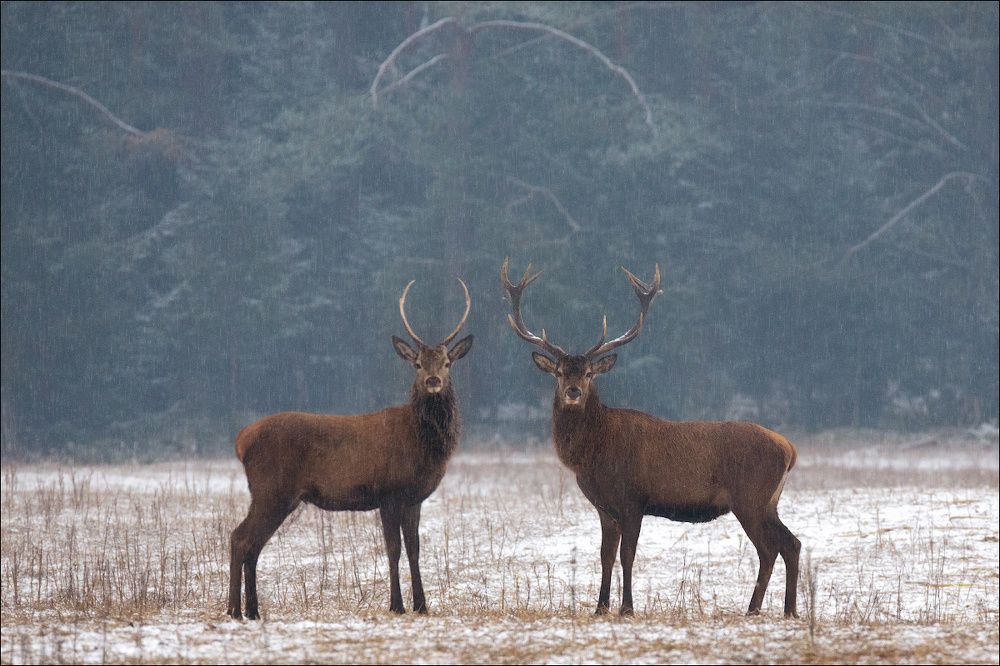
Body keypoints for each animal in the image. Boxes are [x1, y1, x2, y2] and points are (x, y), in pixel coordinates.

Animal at [227, 279, 474, 620]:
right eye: (418, 364)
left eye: (447, 362)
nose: (434, 380)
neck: (422, 445)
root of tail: (242, 440)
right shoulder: (388, 492)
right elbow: (393, 549)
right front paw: (397, 605)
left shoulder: (414, 498)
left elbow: (414, 549)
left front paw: (422, 605)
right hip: (271, 490)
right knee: (241, 538)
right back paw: (235, 611)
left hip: (274, 495)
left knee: (250, 543)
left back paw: (250, 611)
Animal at [501, 258, 800, 618]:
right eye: (559, 372)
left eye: (588, 373)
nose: (573, 391)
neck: (591, 456)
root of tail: (789, 449)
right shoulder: (605, 508)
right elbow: (605, 556)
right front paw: (600, 607)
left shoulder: (633, 499)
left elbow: (627, 556)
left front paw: (627, 607)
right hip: (768, 501)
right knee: (791, 543)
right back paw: (788, 610)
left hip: (751, 498)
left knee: (770, 549)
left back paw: (755, 609)